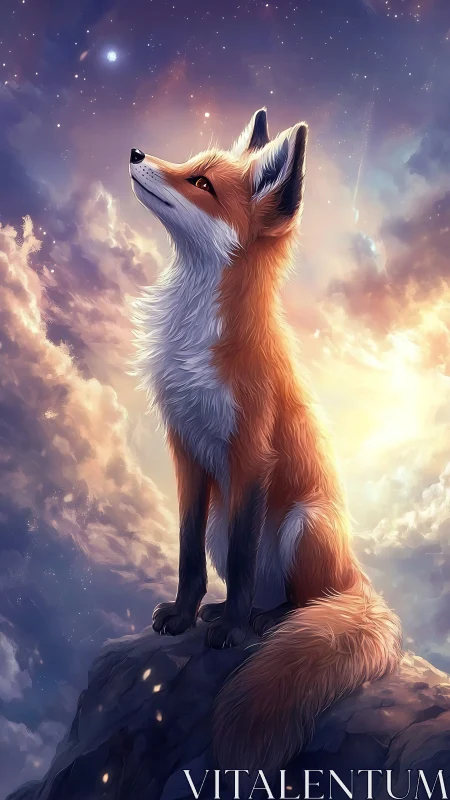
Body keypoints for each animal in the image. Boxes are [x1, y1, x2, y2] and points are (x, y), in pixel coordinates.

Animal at [129, 108, 402, 773]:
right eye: (188, 164)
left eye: (202, 183)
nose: (136, 153)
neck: (194, 335)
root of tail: (358, 576)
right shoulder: (186, 451)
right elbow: (188, 554)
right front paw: (185, 614)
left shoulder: (252, 452)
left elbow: (243, 561)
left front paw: (232, 631)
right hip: (229, 516)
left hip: (305, 523)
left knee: (306, 602)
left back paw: (266, 621)